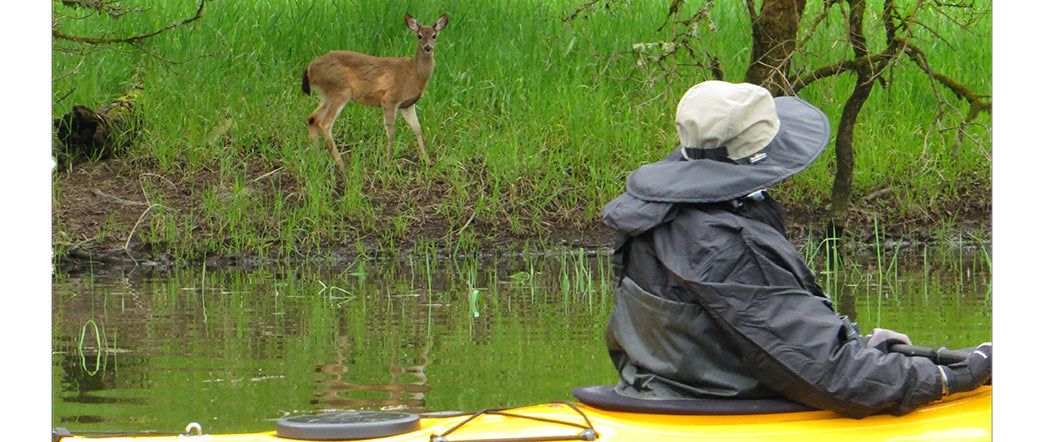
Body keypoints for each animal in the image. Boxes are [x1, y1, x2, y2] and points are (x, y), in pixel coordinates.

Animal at [302, 12, 448, 170]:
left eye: (434, 35)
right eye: (419, 36)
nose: (427, 48)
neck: (414, 74)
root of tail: (309, 68)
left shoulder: (408, 104)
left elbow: (417, 129)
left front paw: (427, 161)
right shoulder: (389, 99)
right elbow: (391, 131)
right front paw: (388, 163)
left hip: (328, 95)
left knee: (312, 118)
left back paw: (319, 160)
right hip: (340, 90)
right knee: (325, 124)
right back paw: (341, 165)